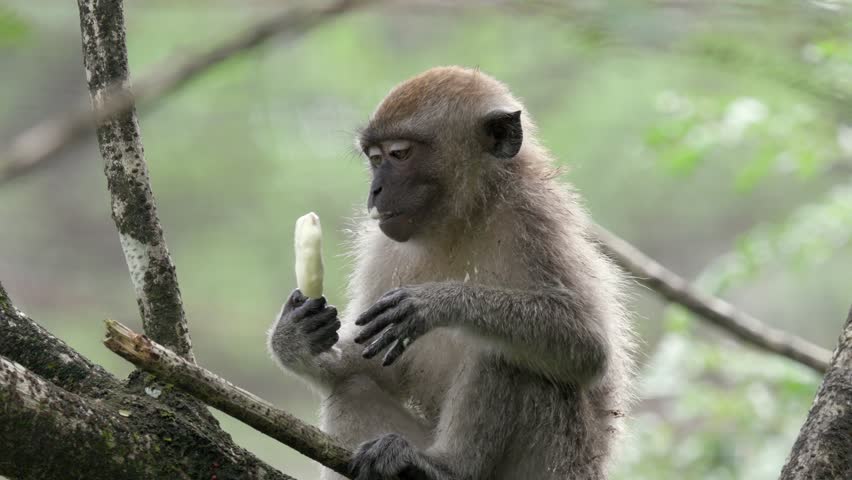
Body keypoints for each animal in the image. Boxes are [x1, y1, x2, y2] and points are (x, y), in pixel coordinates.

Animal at [268, 66, 635, 480]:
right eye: (375, 158)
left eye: (399, 154)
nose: (375, 190)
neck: (460, 220)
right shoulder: (382, 246)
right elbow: (376, 366)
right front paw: (296, 338)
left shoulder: (536, 221)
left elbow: (589, 346)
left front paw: (436, 303)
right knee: (352, 389)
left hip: (557, 463)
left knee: (503, 349)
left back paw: (446, 466)